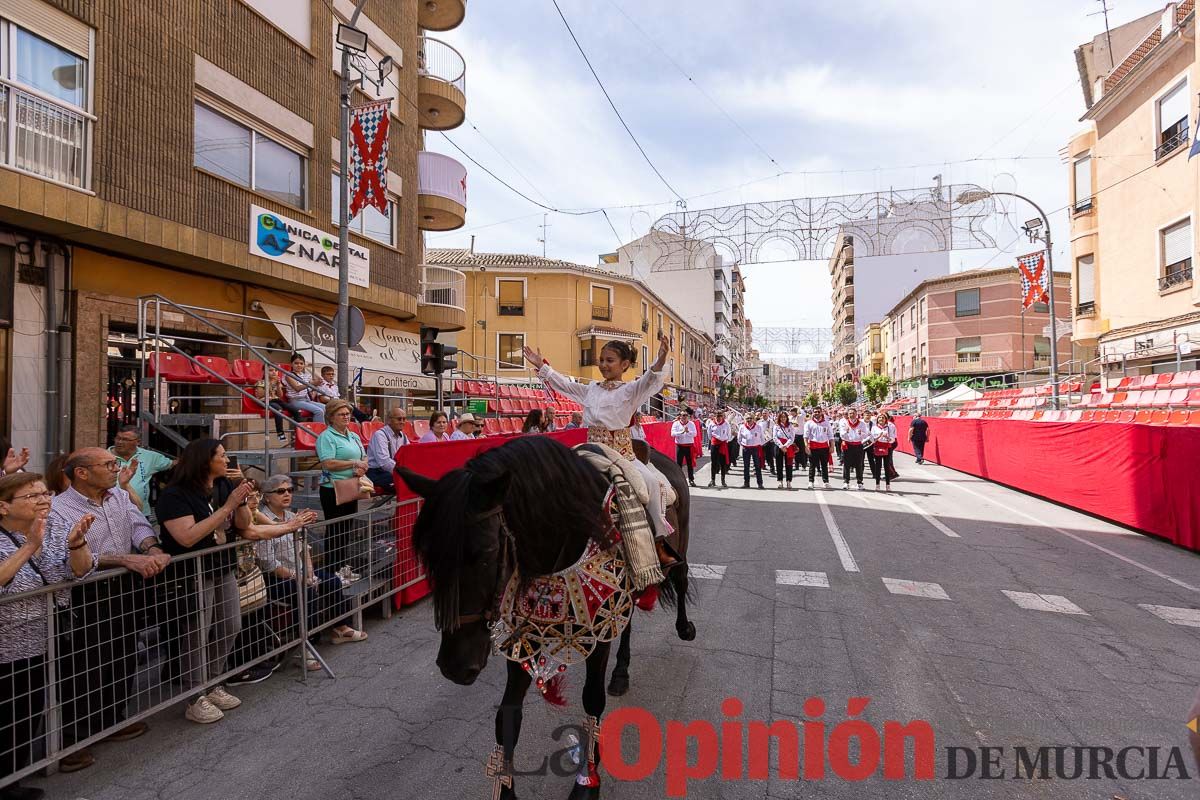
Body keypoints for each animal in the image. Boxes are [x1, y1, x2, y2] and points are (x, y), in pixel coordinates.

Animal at [398, 438, 691, 800]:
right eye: (427, 557)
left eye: (485, 553)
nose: (454, 667)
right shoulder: (526, 636)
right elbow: (507, 716)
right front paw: (505, 790)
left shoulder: (598, 628)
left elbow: (592, 700)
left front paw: (586, 783)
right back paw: (621, 673)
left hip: (680, 545)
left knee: (682, 578)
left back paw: (685, 627)